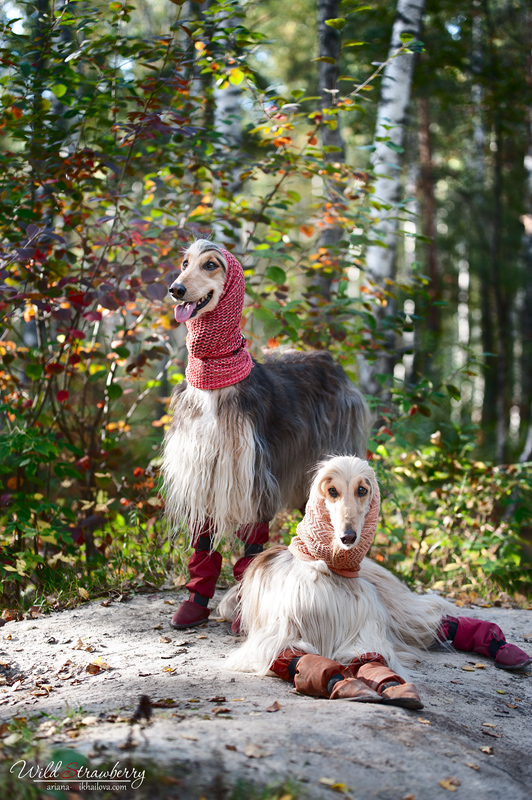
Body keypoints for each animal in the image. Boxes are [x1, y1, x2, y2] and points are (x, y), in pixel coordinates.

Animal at [162, 241, 370, 628]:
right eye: (184, 263)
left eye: (210, 264)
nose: (176, 289)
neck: (214, 385)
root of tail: (330, 361)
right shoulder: (203, 470)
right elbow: (203, 543)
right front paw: (194, 605)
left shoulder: (253, 475)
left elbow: (252, 545)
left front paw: (243, 607)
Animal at [219, 454, 528, 708]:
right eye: (332, 491)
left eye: (362, 490)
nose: (348, 537)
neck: (328, 567)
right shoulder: (278, 634)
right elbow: (295, 658)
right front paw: (339, 683)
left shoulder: (364, 627)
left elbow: (370, 658)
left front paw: (390, 686)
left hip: (393, 605)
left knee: (438, 621)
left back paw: (501, 646)